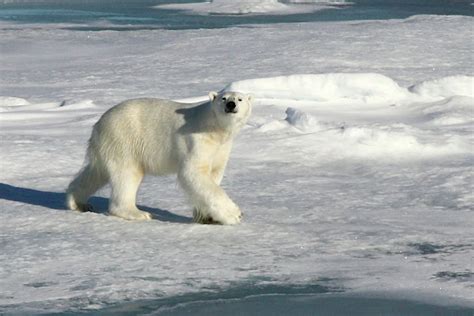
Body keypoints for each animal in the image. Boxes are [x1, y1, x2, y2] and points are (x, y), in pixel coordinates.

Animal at [67, 90, 252, 225]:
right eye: (223, 98)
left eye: (240, 99)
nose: (231, 104)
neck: (214, 128)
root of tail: (99, 124)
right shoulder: (197, 140)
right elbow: (193, 173)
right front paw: (234, 214)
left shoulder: (220, 148)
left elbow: (213, 175)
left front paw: (206, 216)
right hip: (124, 140)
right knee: (127, 175)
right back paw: (137, 213)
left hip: (108, 147)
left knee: (95, 173)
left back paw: (77, 202)